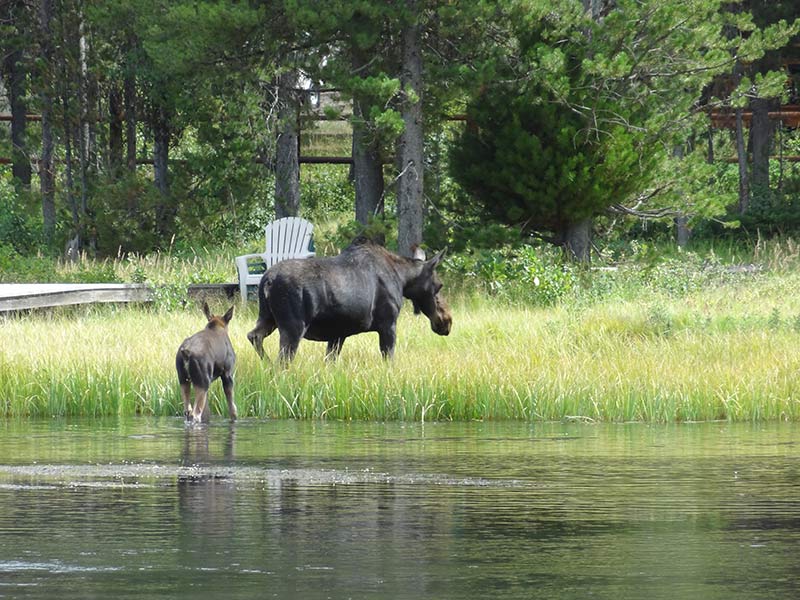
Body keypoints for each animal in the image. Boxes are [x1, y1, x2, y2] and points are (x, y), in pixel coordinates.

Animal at [247, 237, 454, 360]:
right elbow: (389, 358)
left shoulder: (337, 334)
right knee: (282, 360)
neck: (403, 279)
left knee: (254, 336)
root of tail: (267, 280)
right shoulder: (388, 323)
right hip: (293, 326)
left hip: (267, 317)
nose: (447, 321)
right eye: (439, 285)